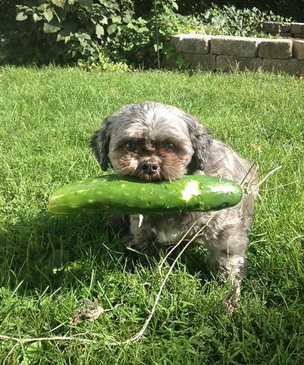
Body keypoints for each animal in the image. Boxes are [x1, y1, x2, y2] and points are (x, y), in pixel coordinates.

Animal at [90, 101, 258, 312]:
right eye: (129, 145)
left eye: (170, 145)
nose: (150, 165)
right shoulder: (141, 226)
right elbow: (146, 250)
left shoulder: (224, 229)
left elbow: (227, 260)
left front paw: (230, 295)